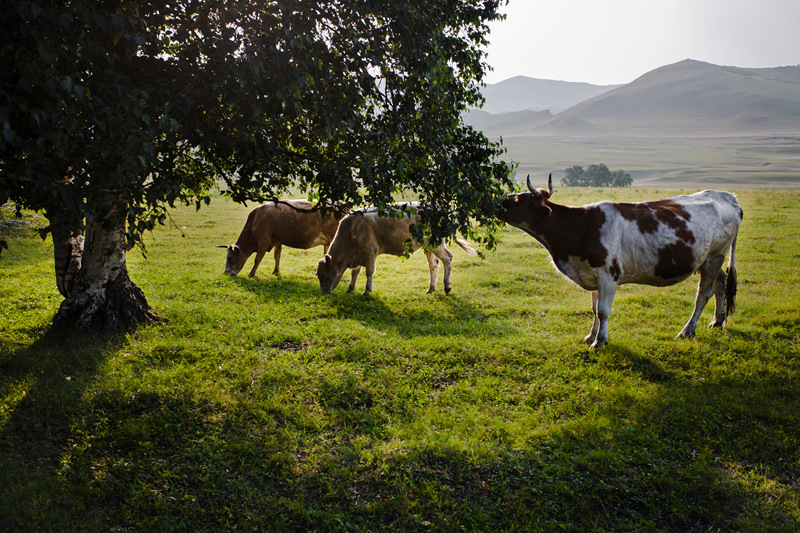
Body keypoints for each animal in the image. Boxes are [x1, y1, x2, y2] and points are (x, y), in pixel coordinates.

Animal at [217, 198, 346, 276]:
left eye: (230, 258)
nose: (226, 272)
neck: (255, 220)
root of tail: (341, 204)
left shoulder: (263, 241)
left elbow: (258, 258)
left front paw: (252, 274)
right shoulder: (277, 241)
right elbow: (277, 256)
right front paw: (276, 271)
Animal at [314, 203, 476, 296]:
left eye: (325, 275)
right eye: (319, 275)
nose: (324, 292)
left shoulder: (370, 250)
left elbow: (369, 272)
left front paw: (367, 290)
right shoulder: (357, 255)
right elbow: (355, 272)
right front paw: (350, 289)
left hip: (435, 243)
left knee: (448, 258)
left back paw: (447, 287)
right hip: (429, 245)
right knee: (433, 265)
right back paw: (431, 288)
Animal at [500, 176, 744, 350]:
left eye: (518, 199)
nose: (497, 201)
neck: (583, 227)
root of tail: (727, 196)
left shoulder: (608, 275)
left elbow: (603, 311)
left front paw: (600, 341)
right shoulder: (593, 274)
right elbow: (594, 309)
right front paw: (591, 335)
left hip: (714, 256)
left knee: (703, 294)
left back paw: (688, 330)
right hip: (710, 259)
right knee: (721, 284)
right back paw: (717, 321)